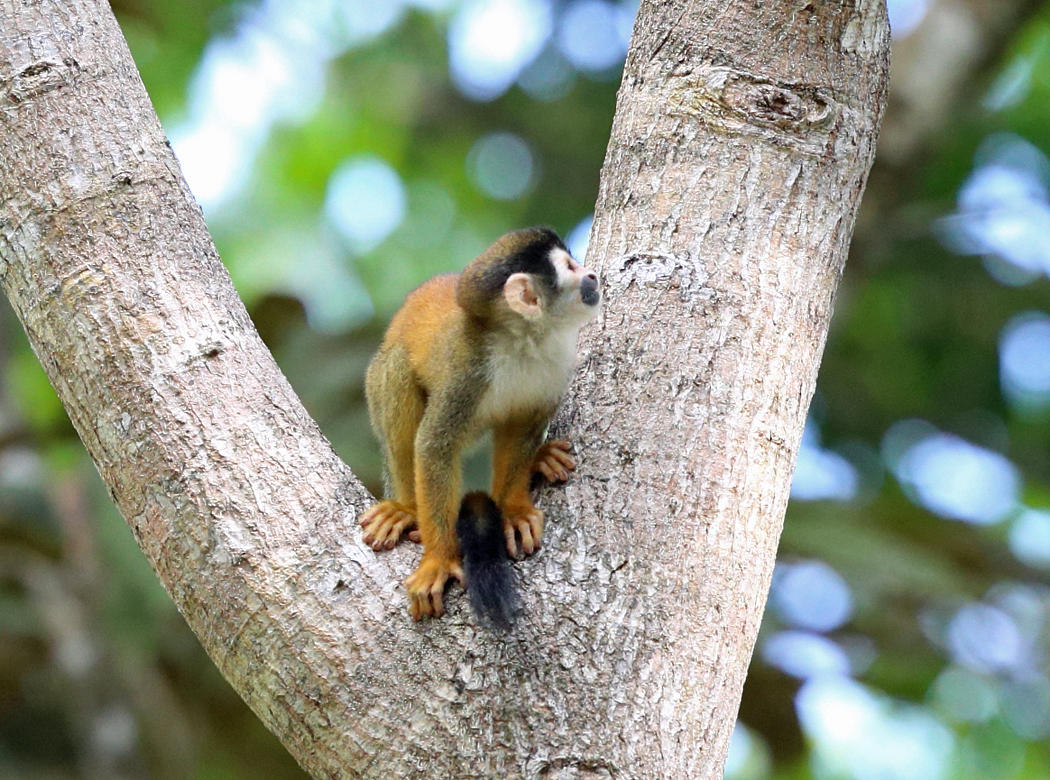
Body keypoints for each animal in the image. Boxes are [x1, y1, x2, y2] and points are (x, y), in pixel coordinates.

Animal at [363, 224, 600, 621]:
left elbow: (523, 426)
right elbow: (434, 445)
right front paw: (438, 561)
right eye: (570, 267)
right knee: (396, 368)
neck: (523, 341)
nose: (593, 276)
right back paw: (406, 509)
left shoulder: (556, 361)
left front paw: (514, 510)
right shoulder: (468, 368)